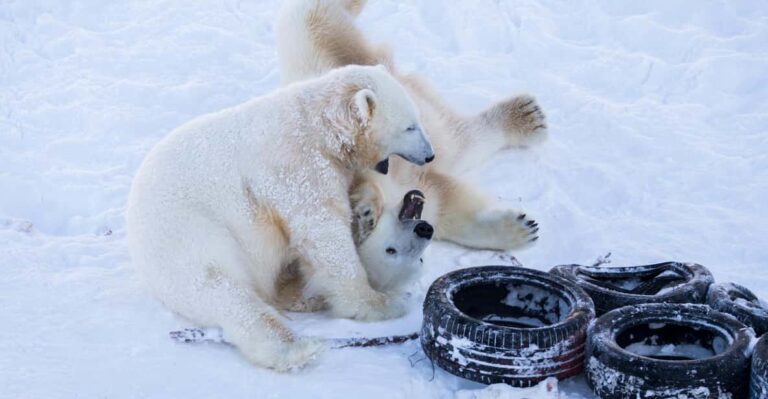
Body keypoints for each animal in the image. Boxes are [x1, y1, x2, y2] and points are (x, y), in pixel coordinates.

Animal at [125, 65, 432, 372]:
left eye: (418, 120)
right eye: (410, 126)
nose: (430, 155)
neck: (320, 125)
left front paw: (366, 209)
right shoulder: (297, 166)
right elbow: (322, 231)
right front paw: (379, 302)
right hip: (190, 236)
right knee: (222, 289)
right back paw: (294, 348)